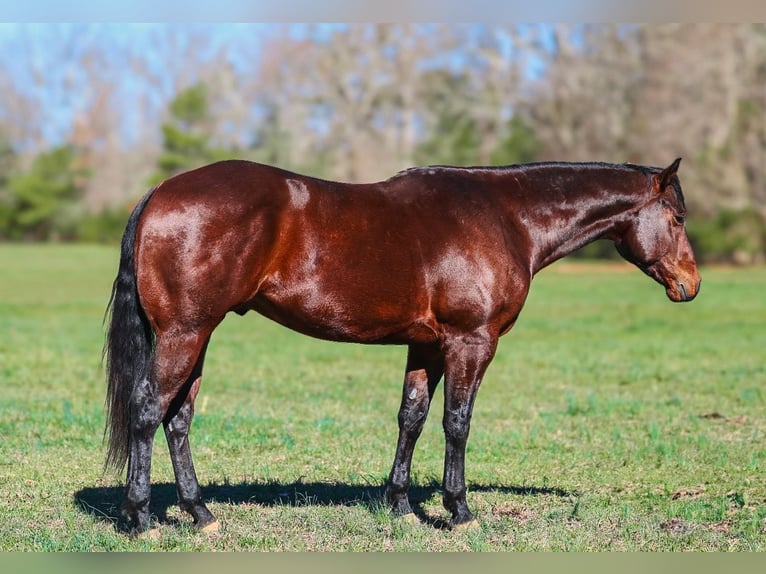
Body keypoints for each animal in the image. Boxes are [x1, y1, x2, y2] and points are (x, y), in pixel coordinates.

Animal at [104, 157, 700, 534]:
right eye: (677, 218)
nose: (691, 285)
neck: (506, 217)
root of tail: (160, 192)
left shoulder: (427, 347)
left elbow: (411, 417)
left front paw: (400, 505)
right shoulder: (470, 342)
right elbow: (457, 422)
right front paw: (459, 511)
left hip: (197, 335)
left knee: (178, 418)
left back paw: (200, 514)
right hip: (184, 334)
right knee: (147, 410)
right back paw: (141, 518)